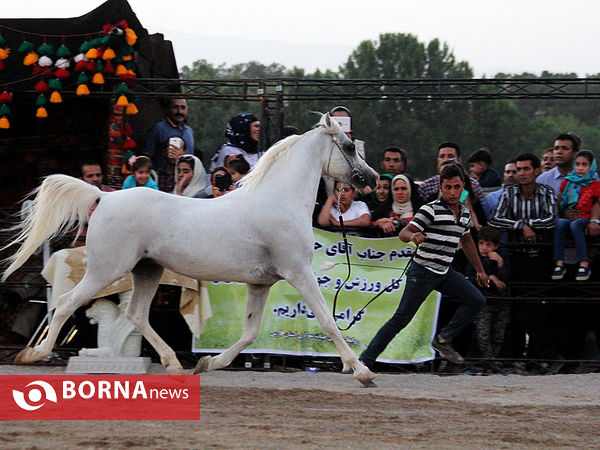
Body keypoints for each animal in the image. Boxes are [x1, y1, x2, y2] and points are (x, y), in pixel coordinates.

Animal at [2, 112, 378, 384]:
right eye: (348, 146)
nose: (373, 180)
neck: (279, 201)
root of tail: (103, 197)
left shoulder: (261, 283)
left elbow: (250, 332)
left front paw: (209, 363)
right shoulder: (298, 272)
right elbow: (327, 320)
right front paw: (361, 371)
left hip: (147, 269)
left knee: (136, 314)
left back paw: (174, 364)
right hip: (105, 270)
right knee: (66, 303)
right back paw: (33, 356)